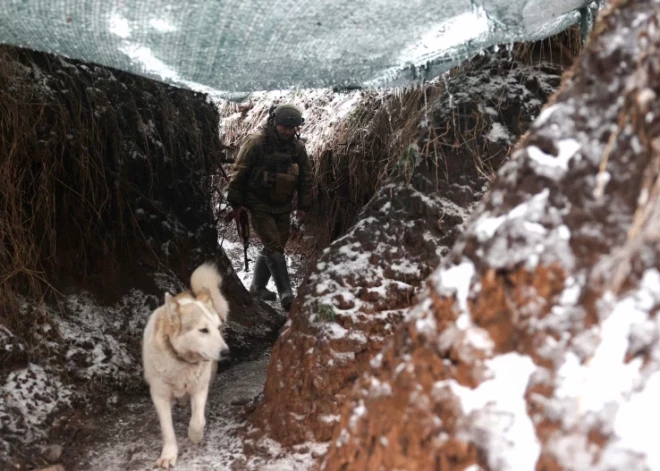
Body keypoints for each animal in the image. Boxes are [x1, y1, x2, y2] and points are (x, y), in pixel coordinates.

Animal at [142, 264, 229, 470]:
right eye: (203, 330)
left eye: (217, 328)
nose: (226, 352)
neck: (181, 361)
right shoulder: (159, 396)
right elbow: (167, 430)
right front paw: (169, 454)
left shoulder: (200, 387)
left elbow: (198, 420)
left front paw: (194, 435)